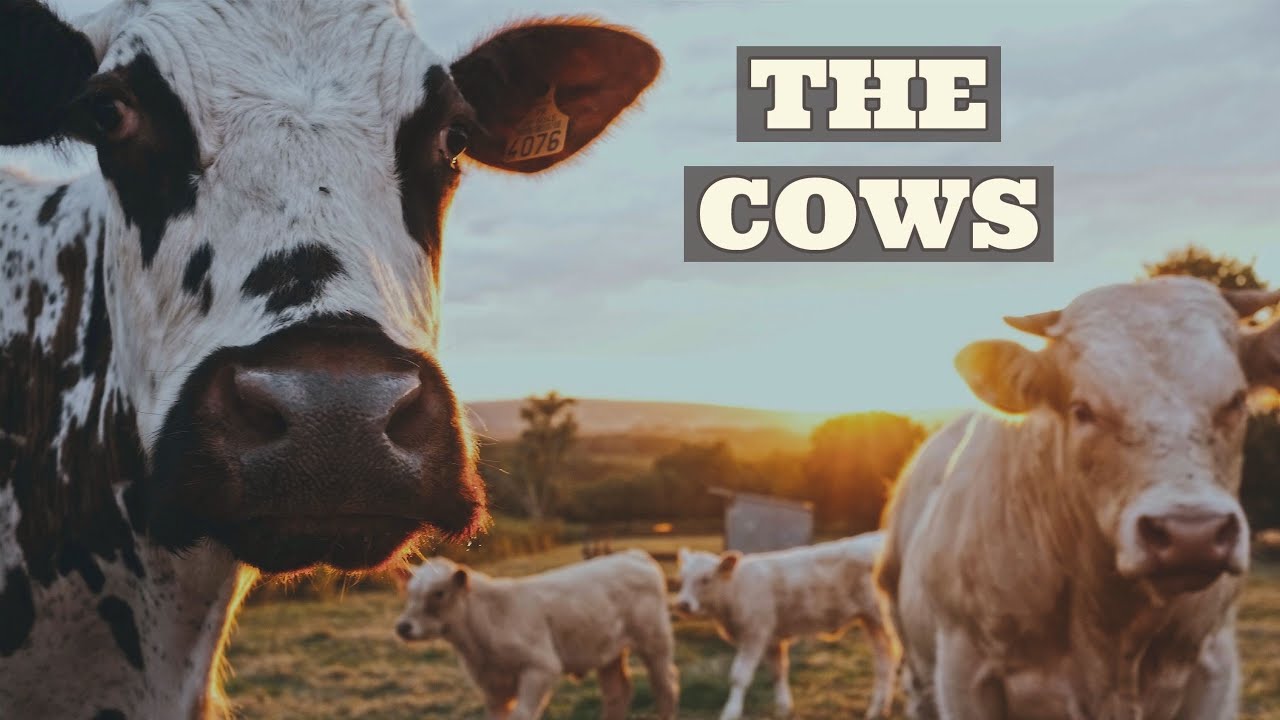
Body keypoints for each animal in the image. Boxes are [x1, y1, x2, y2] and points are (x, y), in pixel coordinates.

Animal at [394, 551, 680, 720]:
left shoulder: (541, 667)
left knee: (665, 685)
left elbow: (521, 715)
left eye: (439, 593)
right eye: (409, 591)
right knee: (616, 694)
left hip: (656, 642)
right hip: (608, 652)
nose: (403, 627)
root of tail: (633, 555)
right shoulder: (492, 687)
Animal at [673, 533, 896, 720]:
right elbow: (778, 672)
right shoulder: (772, 639)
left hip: (883, 619)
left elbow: (739, 676)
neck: (735, 589)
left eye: (705, 579)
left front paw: (731, 711)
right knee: (884, 662)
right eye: (682, 579)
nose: (683, 604)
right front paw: (783, 708)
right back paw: (878, 709)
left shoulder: (755, 633)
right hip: (871, 621)